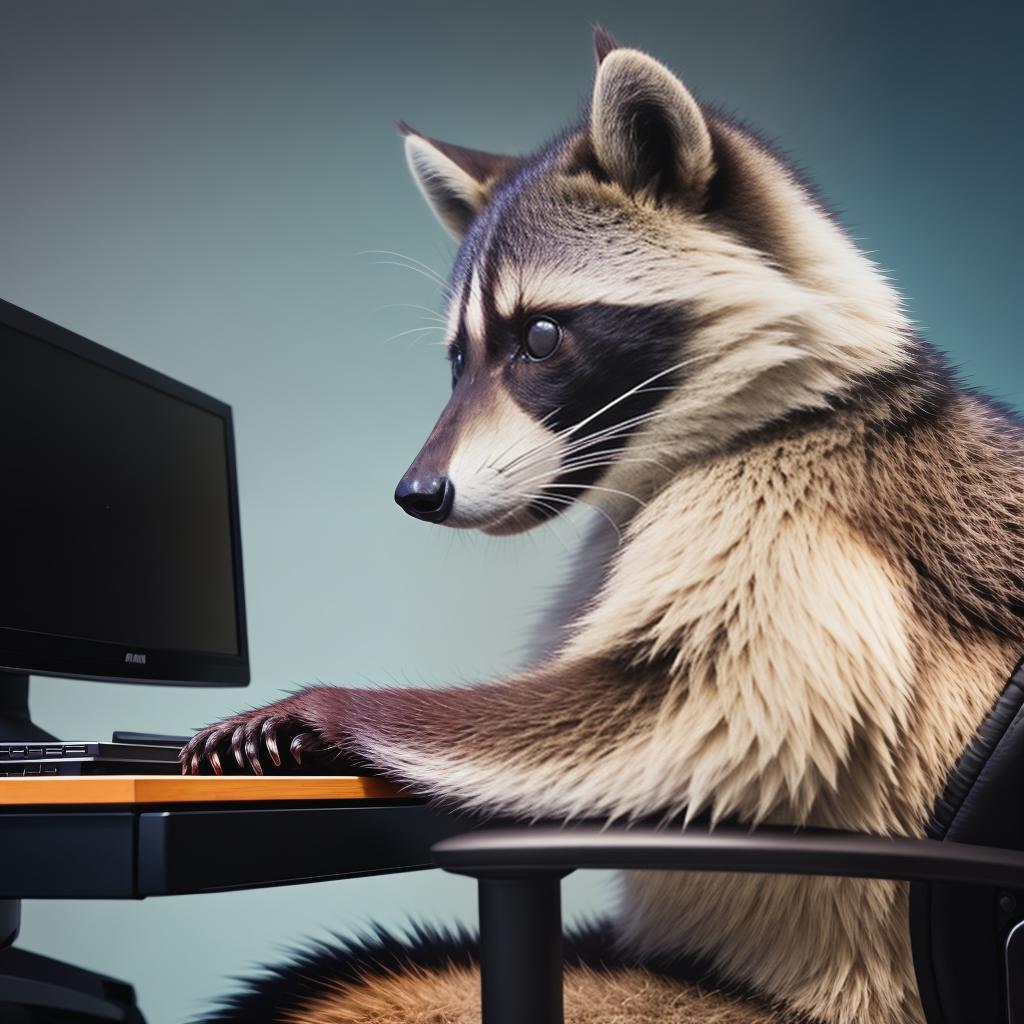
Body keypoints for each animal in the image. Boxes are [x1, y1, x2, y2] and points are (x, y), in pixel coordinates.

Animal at [186, 24, 1024, 1024]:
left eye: (540, 338)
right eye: (458, 361)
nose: (417, 493)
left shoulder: (783, 515)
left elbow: (660, 714)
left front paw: (329, 707)